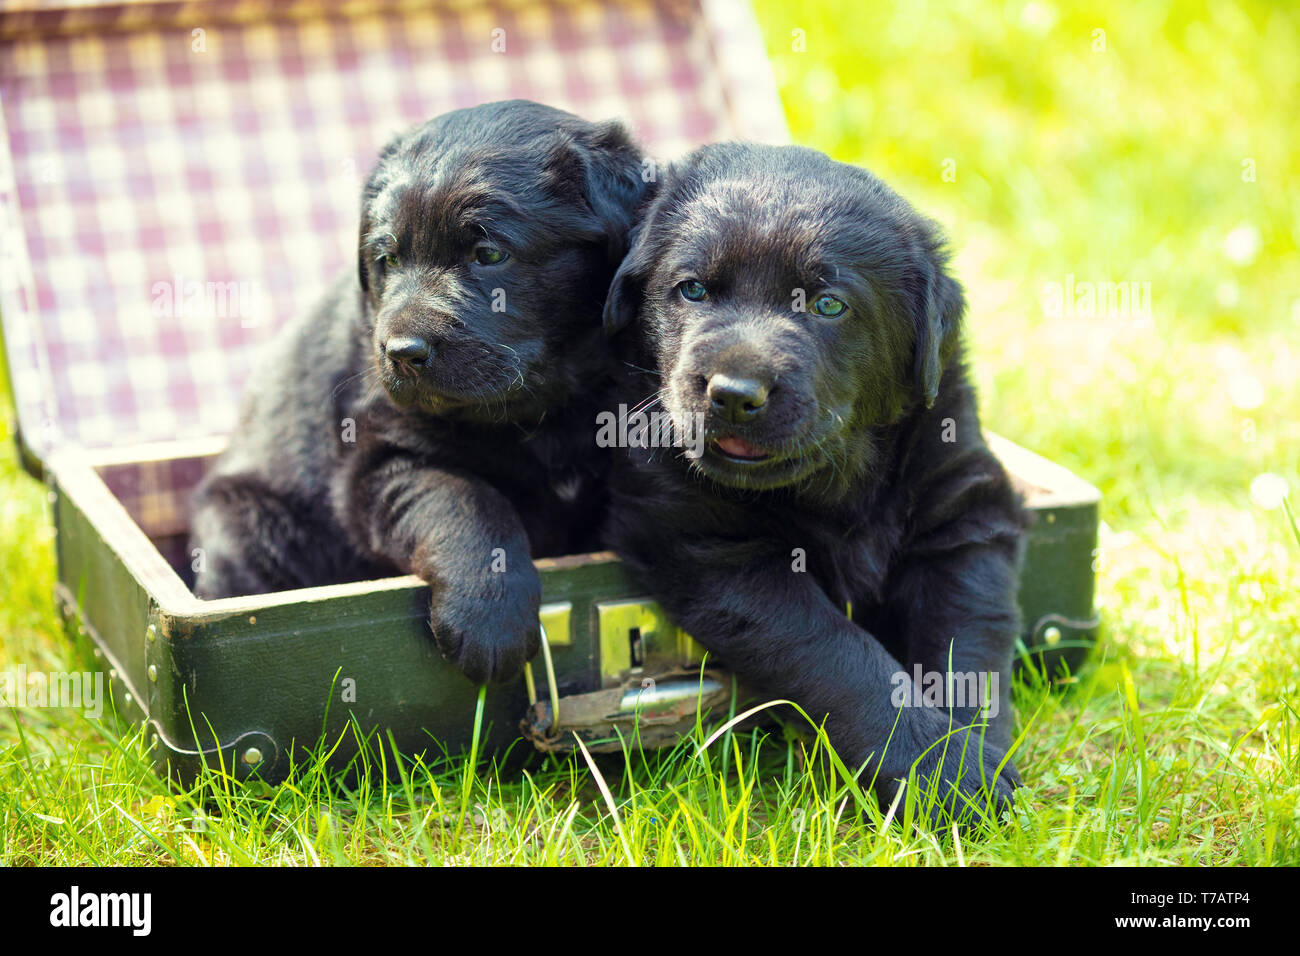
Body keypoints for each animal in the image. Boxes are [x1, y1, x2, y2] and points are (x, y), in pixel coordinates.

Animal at [192, 102, 650, 686]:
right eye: (386, 259)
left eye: (489, 253)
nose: (400, 352)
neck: (540, 410)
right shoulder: (380, 459)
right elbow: (464, 499)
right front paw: (490, 619)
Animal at [603, 143, 1029, 822]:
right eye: (692, 290)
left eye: (830, 304)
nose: (733, 394)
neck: (837, 478)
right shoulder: (715, 546)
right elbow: (838, 654)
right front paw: (941, 770)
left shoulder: (964, 512)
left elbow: (969, 637)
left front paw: (972, 752)